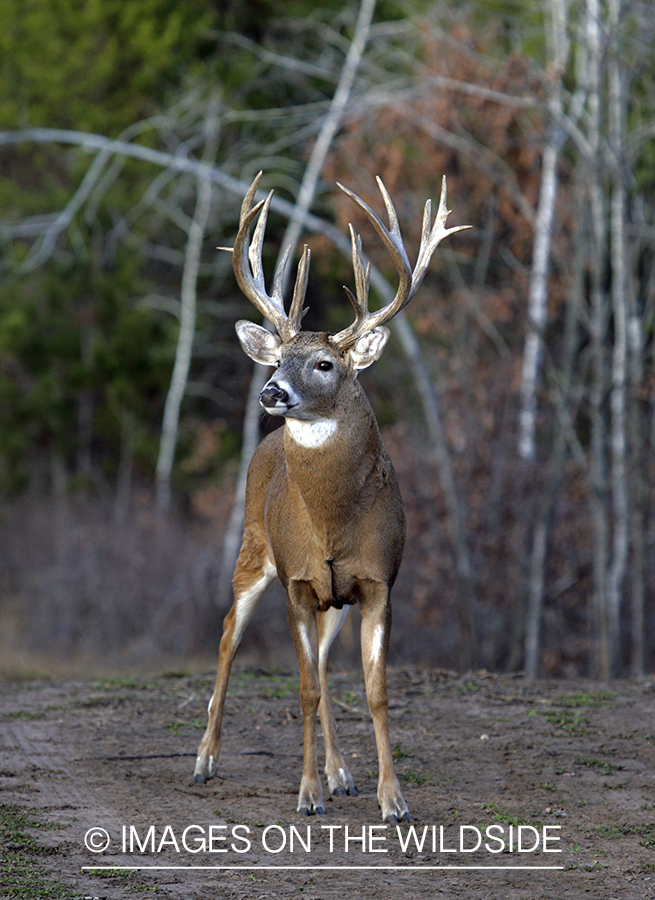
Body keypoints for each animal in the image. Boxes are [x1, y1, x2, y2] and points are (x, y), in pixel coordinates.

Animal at [192, 171, 468, 824]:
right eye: (278, 357)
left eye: (323, 363)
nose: (271, 391)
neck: (332, 523)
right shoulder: (296, 579)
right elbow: (304, 689)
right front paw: (306, 794)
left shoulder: (375, 580)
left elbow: (373, 690)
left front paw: (391, 799)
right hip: (254, 549)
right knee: (228, 632)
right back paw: (205, 760)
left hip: (332, 599)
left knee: (318, 656)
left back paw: (342, 773)